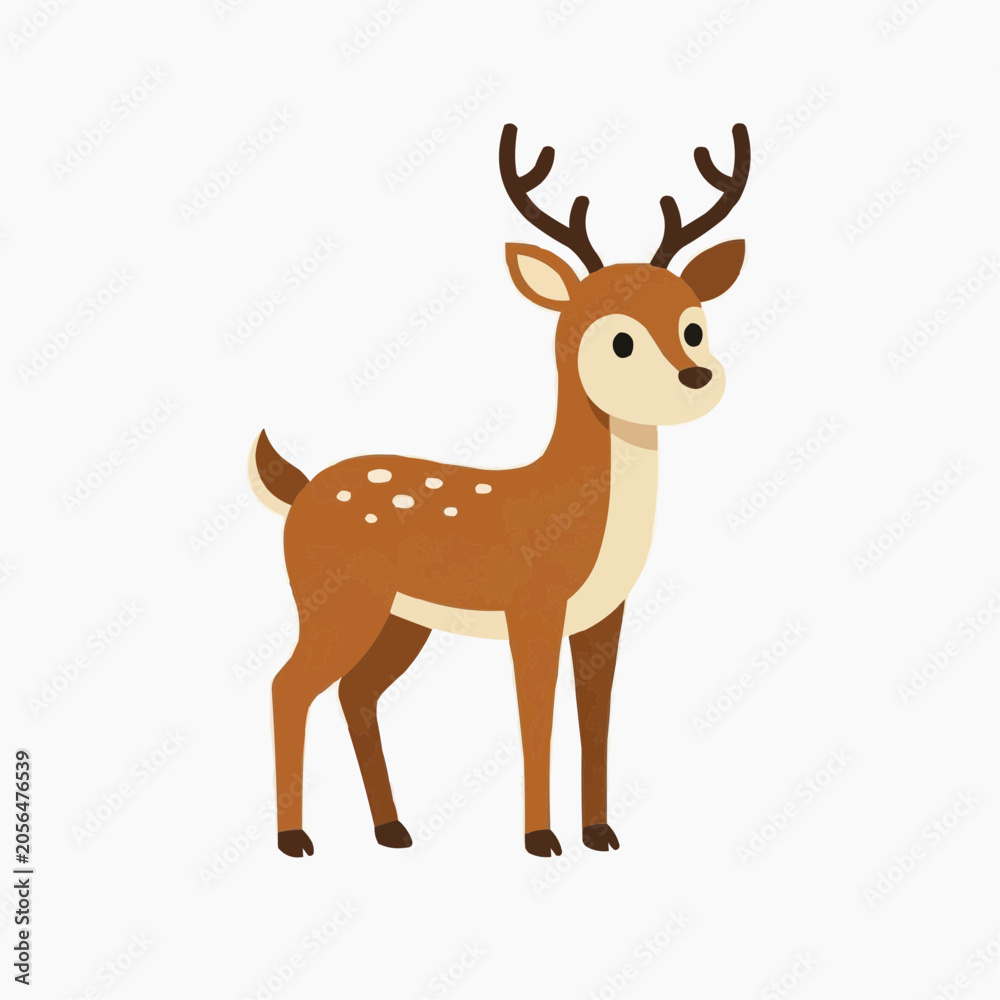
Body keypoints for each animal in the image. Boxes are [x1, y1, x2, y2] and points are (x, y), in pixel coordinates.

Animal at [249, 121, 750, 857]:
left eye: (694, 325)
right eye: (620, 341)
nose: (697, 377)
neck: (574, 509)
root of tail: (300, 489)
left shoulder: (602, 614)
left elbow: (595, 721)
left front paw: (599, 831)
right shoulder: (532, 605)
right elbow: (535, 717)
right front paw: (541, 838)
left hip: (400, 619)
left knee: (355, 694)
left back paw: (392, 829)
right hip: (335, 599)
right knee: (289, 685)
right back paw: (295, 840)